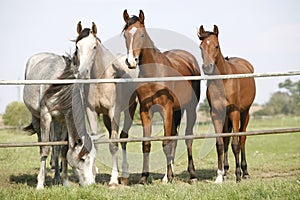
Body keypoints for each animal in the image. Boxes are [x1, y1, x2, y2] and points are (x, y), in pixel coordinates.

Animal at [23, 52, 96, 188]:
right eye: (82, 159)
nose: (91, 184)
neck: (61, 90)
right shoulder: (46, 116)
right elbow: (45, 149)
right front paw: (40, 184)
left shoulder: (64, 120)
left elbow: (63, 150)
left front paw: (65, 181)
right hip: (37, 118)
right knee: (42, 144)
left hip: (57, 122)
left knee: (56, 147)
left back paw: (57, 178)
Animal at [74, 21, 138, 186]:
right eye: (77, 46)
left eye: (94, 47)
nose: (82, 73)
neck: (102, 78)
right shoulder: (91, 112)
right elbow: (95, 143)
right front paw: (92, 176)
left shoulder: (113, 111)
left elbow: (113, 144)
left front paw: (113, 180)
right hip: (106, 118)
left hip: (128, 110)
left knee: (123, 138)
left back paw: (125, 175)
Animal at [122, 9, 202, 184]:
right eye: (125, 35)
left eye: (142, 35)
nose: (131, 61)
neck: (154, 74)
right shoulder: (145, 111)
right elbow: (146, 144)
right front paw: (144, 178)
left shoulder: (166, 110)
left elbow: (166, 143)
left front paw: (169, 176)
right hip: (177, 111)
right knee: (174, 138)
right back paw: (168, 175)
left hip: (190, 108)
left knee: (187, 137)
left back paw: (192, 175)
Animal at [198, 24, 256, 183]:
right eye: (201, 47)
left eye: (216, 46)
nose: (208, 68)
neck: (222, 82)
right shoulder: (216, 114)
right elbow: (220, 143)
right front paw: (219, 176)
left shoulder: (234, 112)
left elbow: (235, 144)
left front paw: (238, 176)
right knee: (226, 140)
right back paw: (225, 171)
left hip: (245, 113)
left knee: (242, 138)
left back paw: (245, 172)